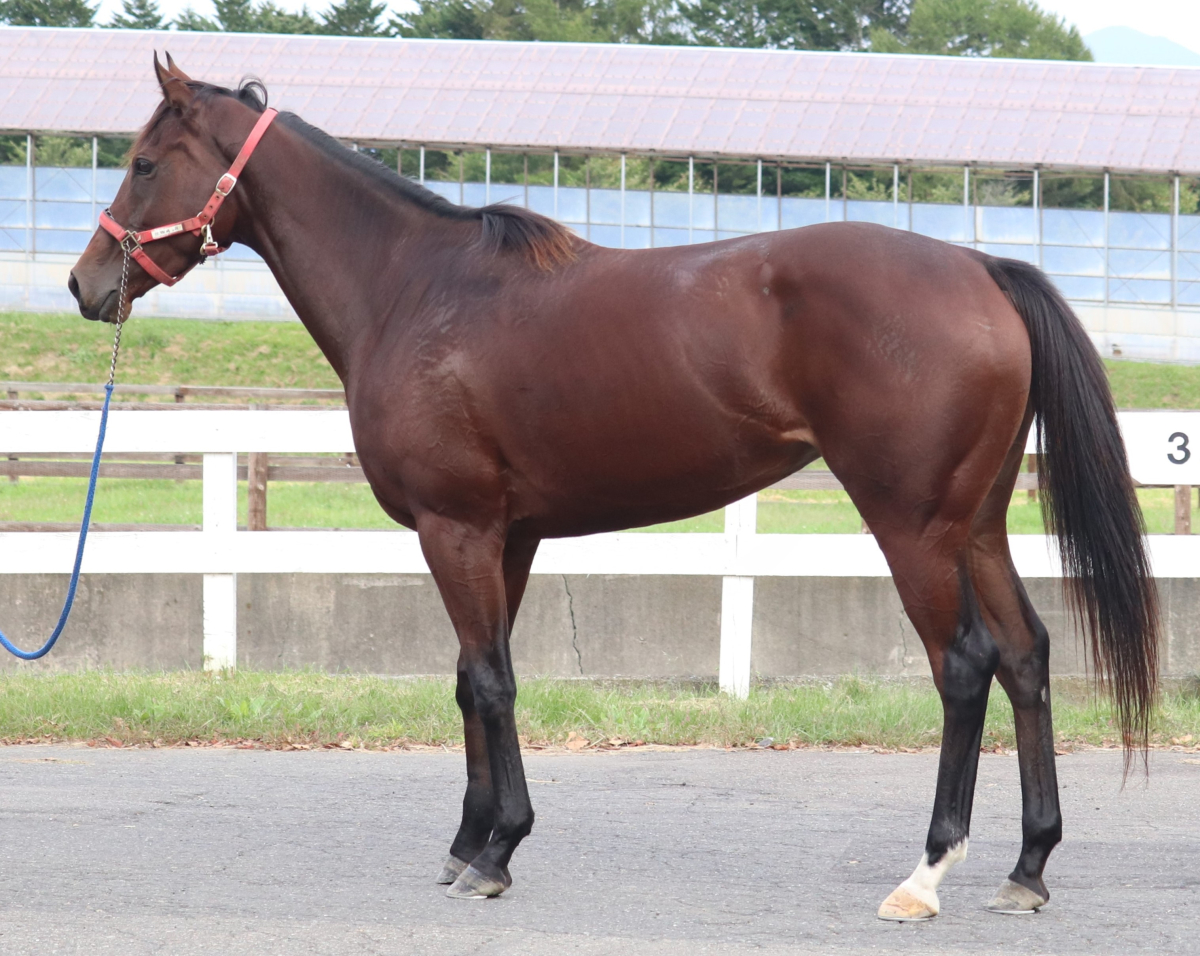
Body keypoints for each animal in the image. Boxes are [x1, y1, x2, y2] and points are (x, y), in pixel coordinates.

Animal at [68, 55, 1158, 920]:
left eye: (145, 162)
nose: (86, 285)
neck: (416, 290)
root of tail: (980, 268)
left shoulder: (455, 528)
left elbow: (490, 681)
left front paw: (499, 849)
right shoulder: (504, 535)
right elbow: (474, 677)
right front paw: (469, 845)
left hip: (914, 526)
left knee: (966, 665)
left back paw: (926, 874)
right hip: (975, 523)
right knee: (1027, 655)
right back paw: (1027, 866)